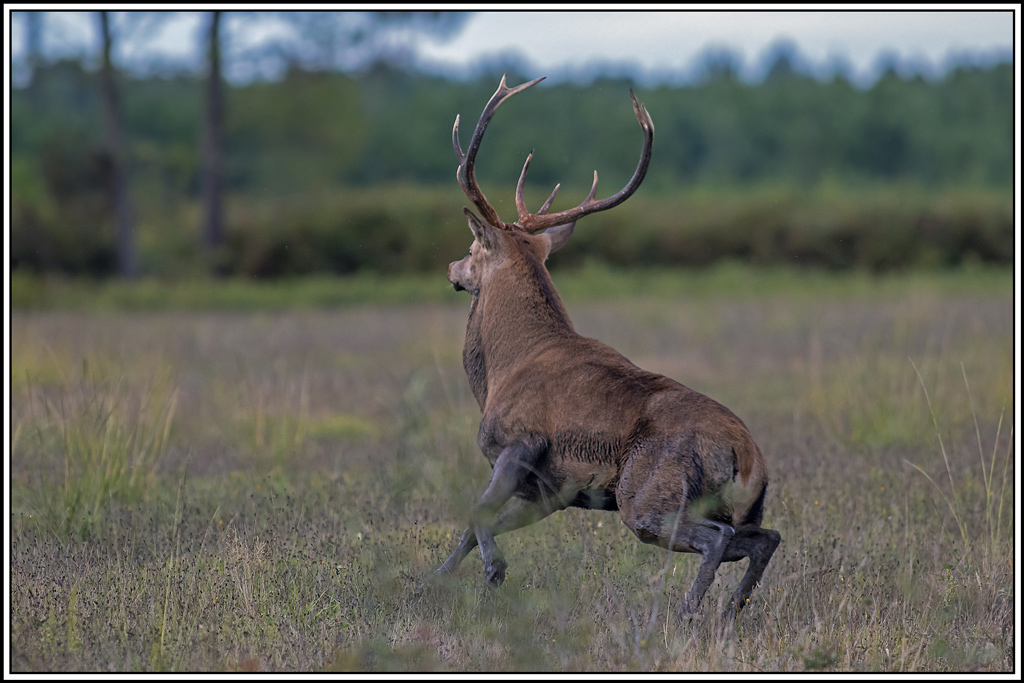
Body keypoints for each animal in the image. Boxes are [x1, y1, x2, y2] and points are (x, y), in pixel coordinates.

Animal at [433, 75, 781, 621]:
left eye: (471, 249)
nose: (451, 268)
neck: (500, 373)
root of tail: (747, 457)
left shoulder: (519, 443)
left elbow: (476, 512)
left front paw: (493, 572)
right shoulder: (551, 490)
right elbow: (475, 524)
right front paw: (434, 581)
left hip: (646, 492)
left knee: (717, 537)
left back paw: (686, 614)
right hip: (740, 504)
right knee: (766, 536)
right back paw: (729, 612)